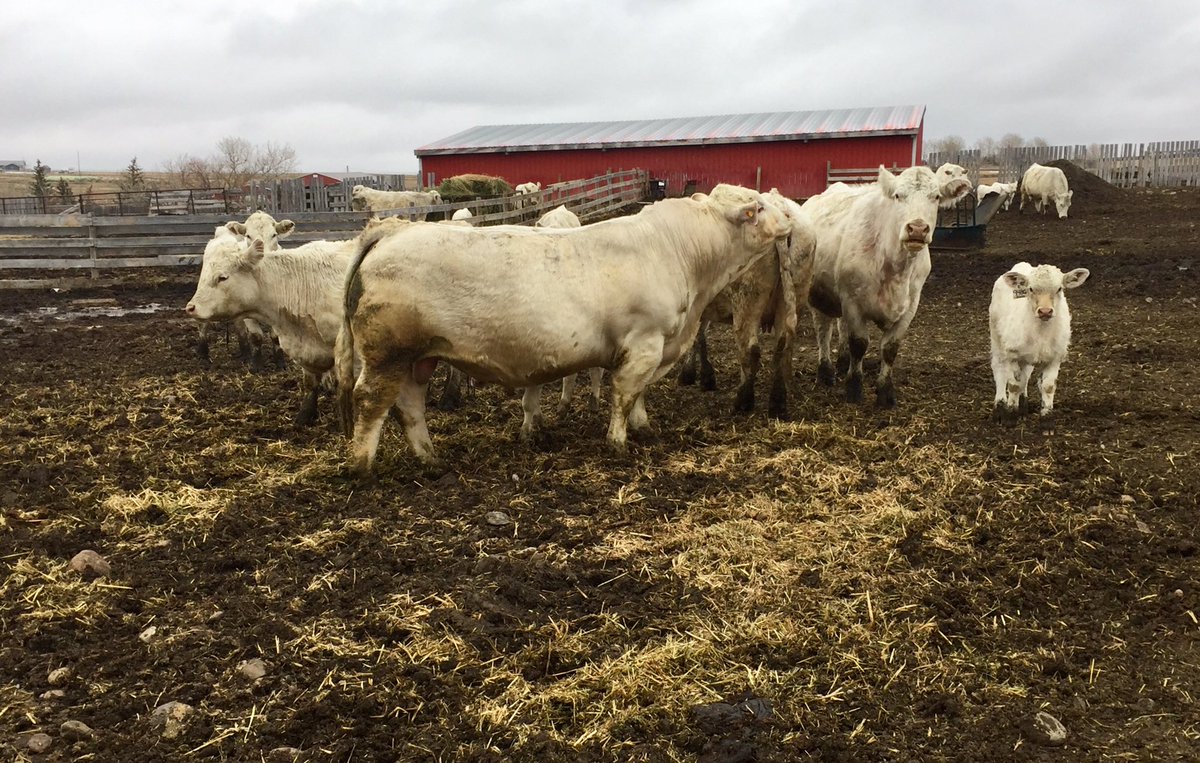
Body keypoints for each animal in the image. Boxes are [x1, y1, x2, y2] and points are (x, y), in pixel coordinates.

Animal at [335, 188, 792, 478]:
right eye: (759, 206)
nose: (791, 215)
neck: (682, 251)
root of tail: (393, 230)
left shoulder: (658, 346)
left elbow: (640, 394)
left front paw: (644, 428)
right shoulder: (643, 342)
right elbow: (624, 394)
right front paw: (618, 442)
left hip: (418, 358)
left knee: (409, 406)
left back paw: (430, 460)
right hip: (388, 353)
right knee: (370, 401)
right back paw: (361, 466)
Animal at [677, 187, 816, 417]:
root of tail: (781, 208)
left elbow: (696, 338)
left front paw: (690, 374)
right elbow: (700, 336)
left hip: (747, 300)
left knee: (750, 349)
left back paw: (743, 400)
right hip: (793, 296)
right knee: (783, 345)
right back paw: (778, 402)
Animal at [798, 165, 971, 407]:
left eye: (936, 196)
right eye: (898, 196)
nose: (917, 229)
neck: (894, 266)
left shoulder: (910, 306)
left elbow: (890, 348)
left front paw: (885, 392)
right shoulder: (853, 302)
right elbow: (859, 344)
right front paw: (854, 388)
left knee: (841, 327)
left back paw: (842, 363)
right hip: (818, 294)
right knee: (823, 329)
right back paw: (826, 372)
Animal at [989, 262, 1090, 431]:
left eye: (1059, 288)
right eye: (1030, 289)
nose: (1045, 311)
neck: (1040, 333)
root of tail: (1021, 264)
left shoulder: (1055, 357)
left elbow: (1047, 387)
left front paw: (1047, 422)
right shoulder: (1012, 354)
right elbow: (1013, 385)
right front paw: (1010, 418)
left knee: (1025, 375)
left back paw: (1023, 407)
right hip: (996, 336)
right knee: (999, 370)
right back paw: (1000, 408)